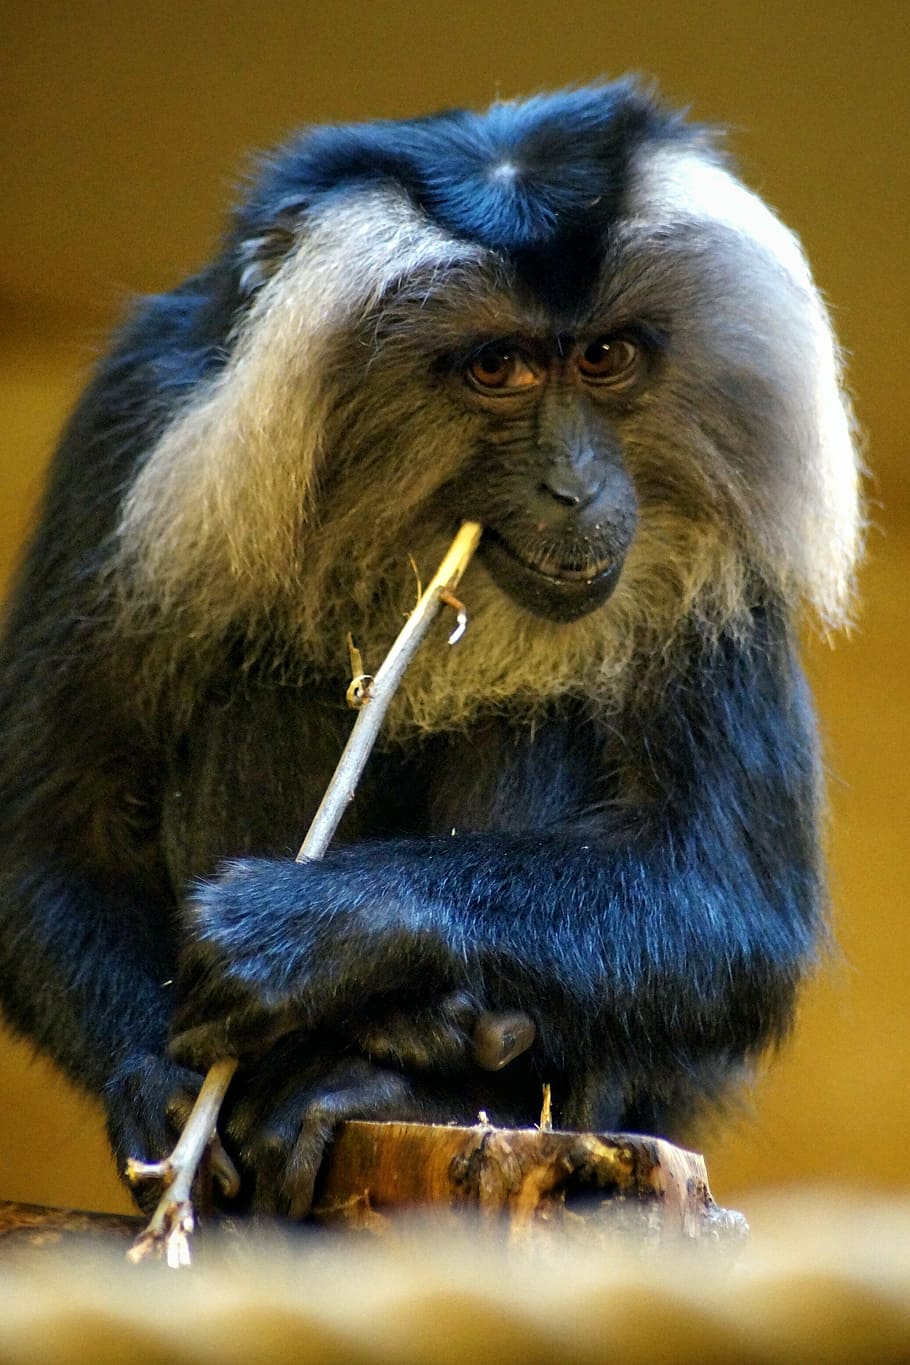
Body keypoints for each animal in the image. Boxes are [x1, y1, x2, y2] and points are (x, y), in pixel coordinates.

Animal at [0, 80, 860, 1218]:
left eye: (603, 357)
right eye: (498, 367)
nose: (574, 487)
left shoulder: (728, 534)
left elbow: (732, 897)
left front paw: (313, 929)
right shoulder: (138, 419)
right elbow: (53, 832)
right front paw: (156, 1092)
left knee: (536, 716)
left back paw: (421, 1069)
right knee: (263, 684)